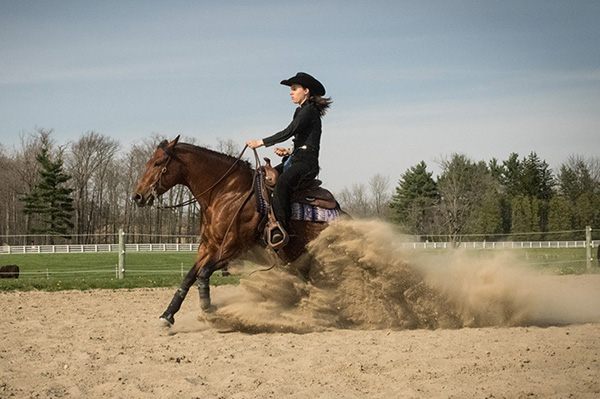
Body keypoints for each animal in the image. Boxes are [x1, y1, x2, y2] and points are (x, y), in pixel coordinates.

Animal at [132, 136, 338, 326]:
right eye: (149, 162)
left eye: (158, 163)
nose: (137, 196)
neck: (227, 193)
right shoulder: (208, 246)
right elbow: (190, 277)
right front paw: (167, 315)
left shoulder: (233, 248)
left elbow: (203, 274)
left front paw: (209, 311)